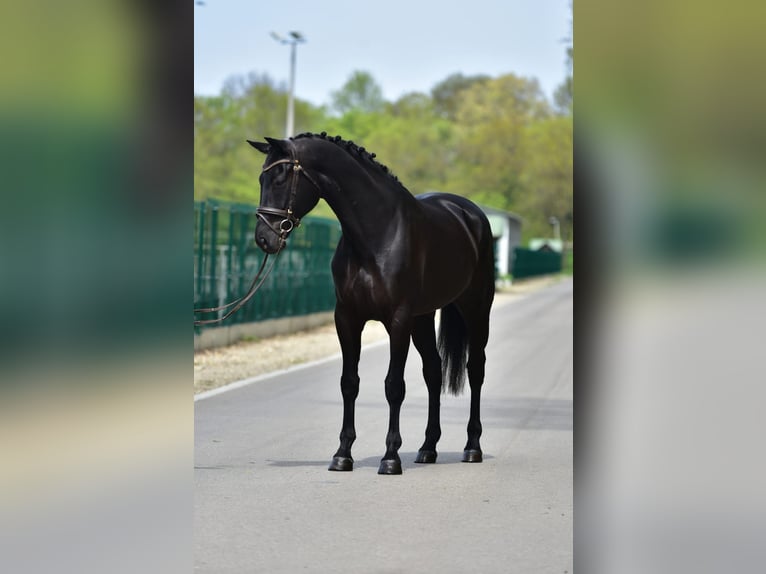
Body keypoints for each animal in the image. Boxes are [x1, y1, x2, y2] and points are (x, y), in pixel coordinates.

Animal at [248, 132, 495, 475]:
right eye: (261, 178)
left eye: (281, 177)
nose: (264, 238)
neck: (376, 234)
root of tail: (470, 213)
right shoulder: (347, 318)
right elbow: (349, 383)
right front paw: (342, 455)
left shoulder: (398, 320)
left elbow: (394, 386)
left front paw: (390, 458)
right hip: (423, 317)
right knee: (433, 371)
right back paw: (427, 448)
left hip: (475, 309)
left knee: (476, 370)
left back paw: (472, 447)